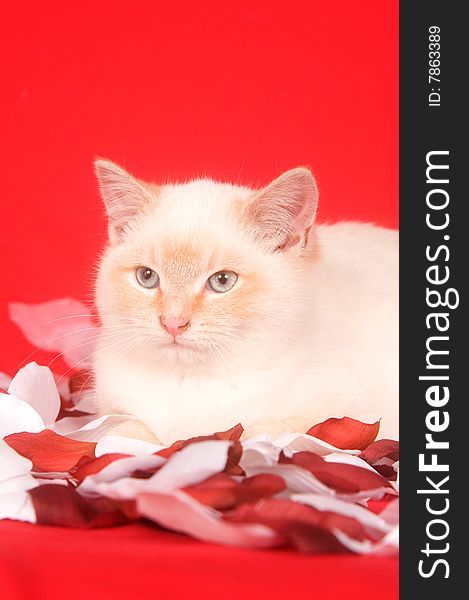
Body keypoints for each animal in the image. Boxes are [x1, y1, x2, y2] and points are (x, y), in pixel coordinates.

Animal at [92, 161, 398, 446]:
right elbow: (121, 431)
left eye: (222, 281)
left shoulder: (357, 420)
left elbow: (267, 430)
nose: (173, 323)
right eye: (147, 277)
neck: (194, 382)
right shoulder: (112, 406)